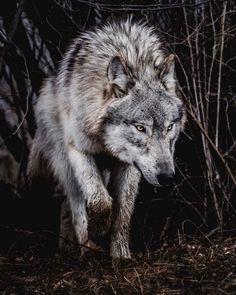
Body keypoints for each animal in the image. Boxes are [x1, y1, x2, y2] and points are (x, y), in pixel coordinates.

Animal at [28, 19, 186, 268]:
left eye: (169, 127)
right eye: (140, 128)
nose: (167, 177)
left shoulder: (130, 165)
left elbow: (123, 213)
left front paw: (120, 256)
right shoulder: (79, 150)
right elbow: (100, 200)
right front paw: (99, 227)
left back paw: (67, 247)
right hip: (66, 164)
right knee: (75, 205)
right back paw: (86, 249)